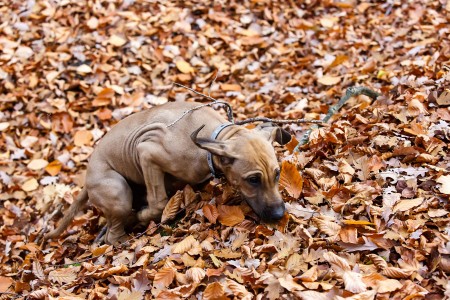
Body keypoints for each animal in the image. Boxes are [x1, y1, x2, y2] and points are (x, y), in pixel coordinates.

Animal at [44, 102, 292, 245]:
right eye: (253, 180)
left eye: (277, 173)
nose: (280, 214)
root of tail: (86, 181)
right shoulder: (146, 152)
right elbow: (159, 203)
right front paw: (142, 215)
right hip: (117, 190)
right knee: (113, 233)